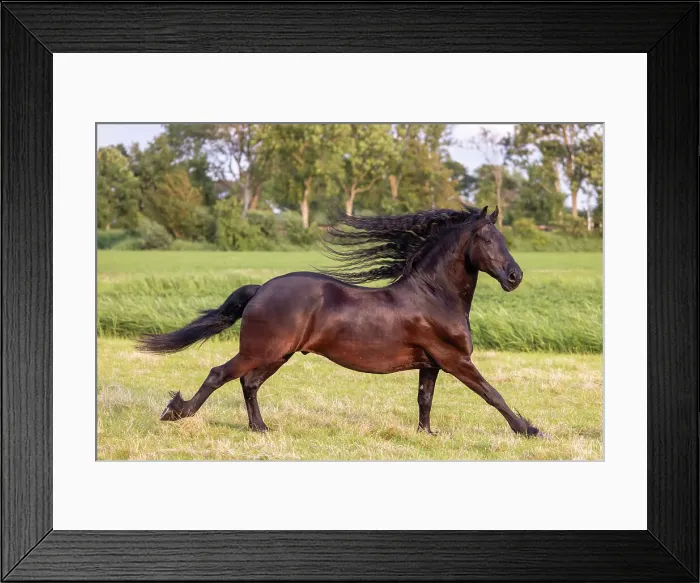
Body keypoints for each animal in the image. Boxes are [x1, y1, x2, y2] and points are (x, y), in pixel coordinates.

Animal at [138, 205, 542, 437]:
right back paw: (177, 413)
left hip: (276, 354)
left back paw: (260, 428)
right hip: (260, 350)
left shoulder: (431, 364)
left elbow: (424, 400)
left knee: (249, 383)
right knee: (220, 374)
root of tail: (261, 288)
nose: (515, 276)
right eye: (487, 239)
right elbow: (492, 394)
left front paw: (427, 434)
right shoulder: (456, 360)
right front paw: (528, 429)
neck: (434, 296)